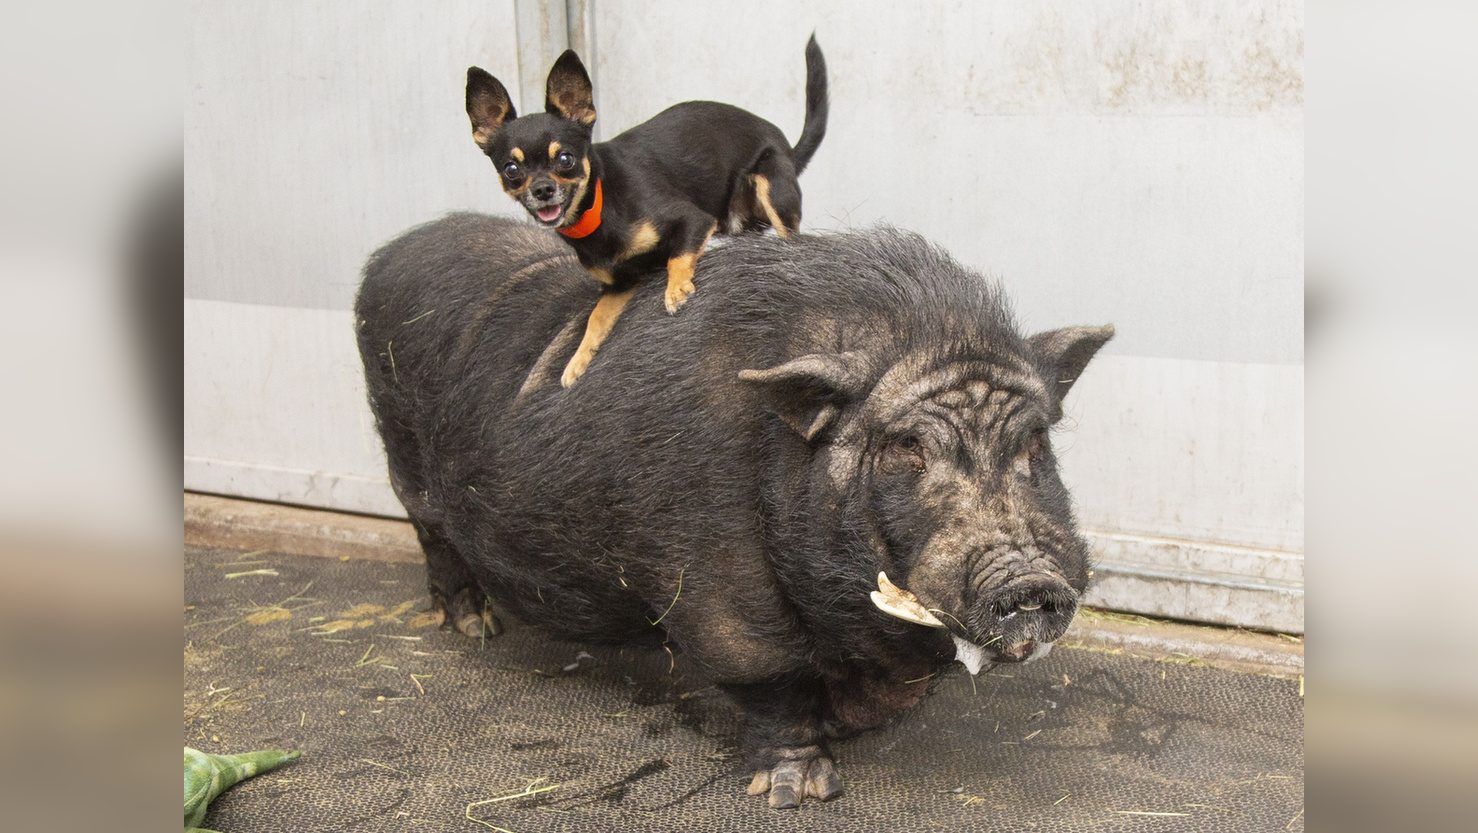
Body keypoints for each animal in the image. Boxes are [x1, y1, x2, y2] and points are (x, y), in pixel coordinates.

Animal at [354, 214, 1111, 809]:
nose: (1031, 579)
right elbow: (766, 671)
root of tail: (391, 251)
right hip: (401, 451)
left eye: (1034, 441)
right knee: (433, 535)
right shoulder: (714, 573)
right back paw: (474, 627)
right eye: (908, 447)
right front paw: (801, 792)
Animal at [467, 33, 827, 384]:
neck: (599, 206)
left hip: (773, 188)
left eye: (565, 159)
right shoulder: (619, 284)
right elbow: (596, 318)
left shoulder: (694, 220)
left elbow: (677, 257)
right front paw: (578, 359)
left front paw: (676, 289)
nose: (543, 190)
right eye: (511, 169)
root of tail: (788, 148)